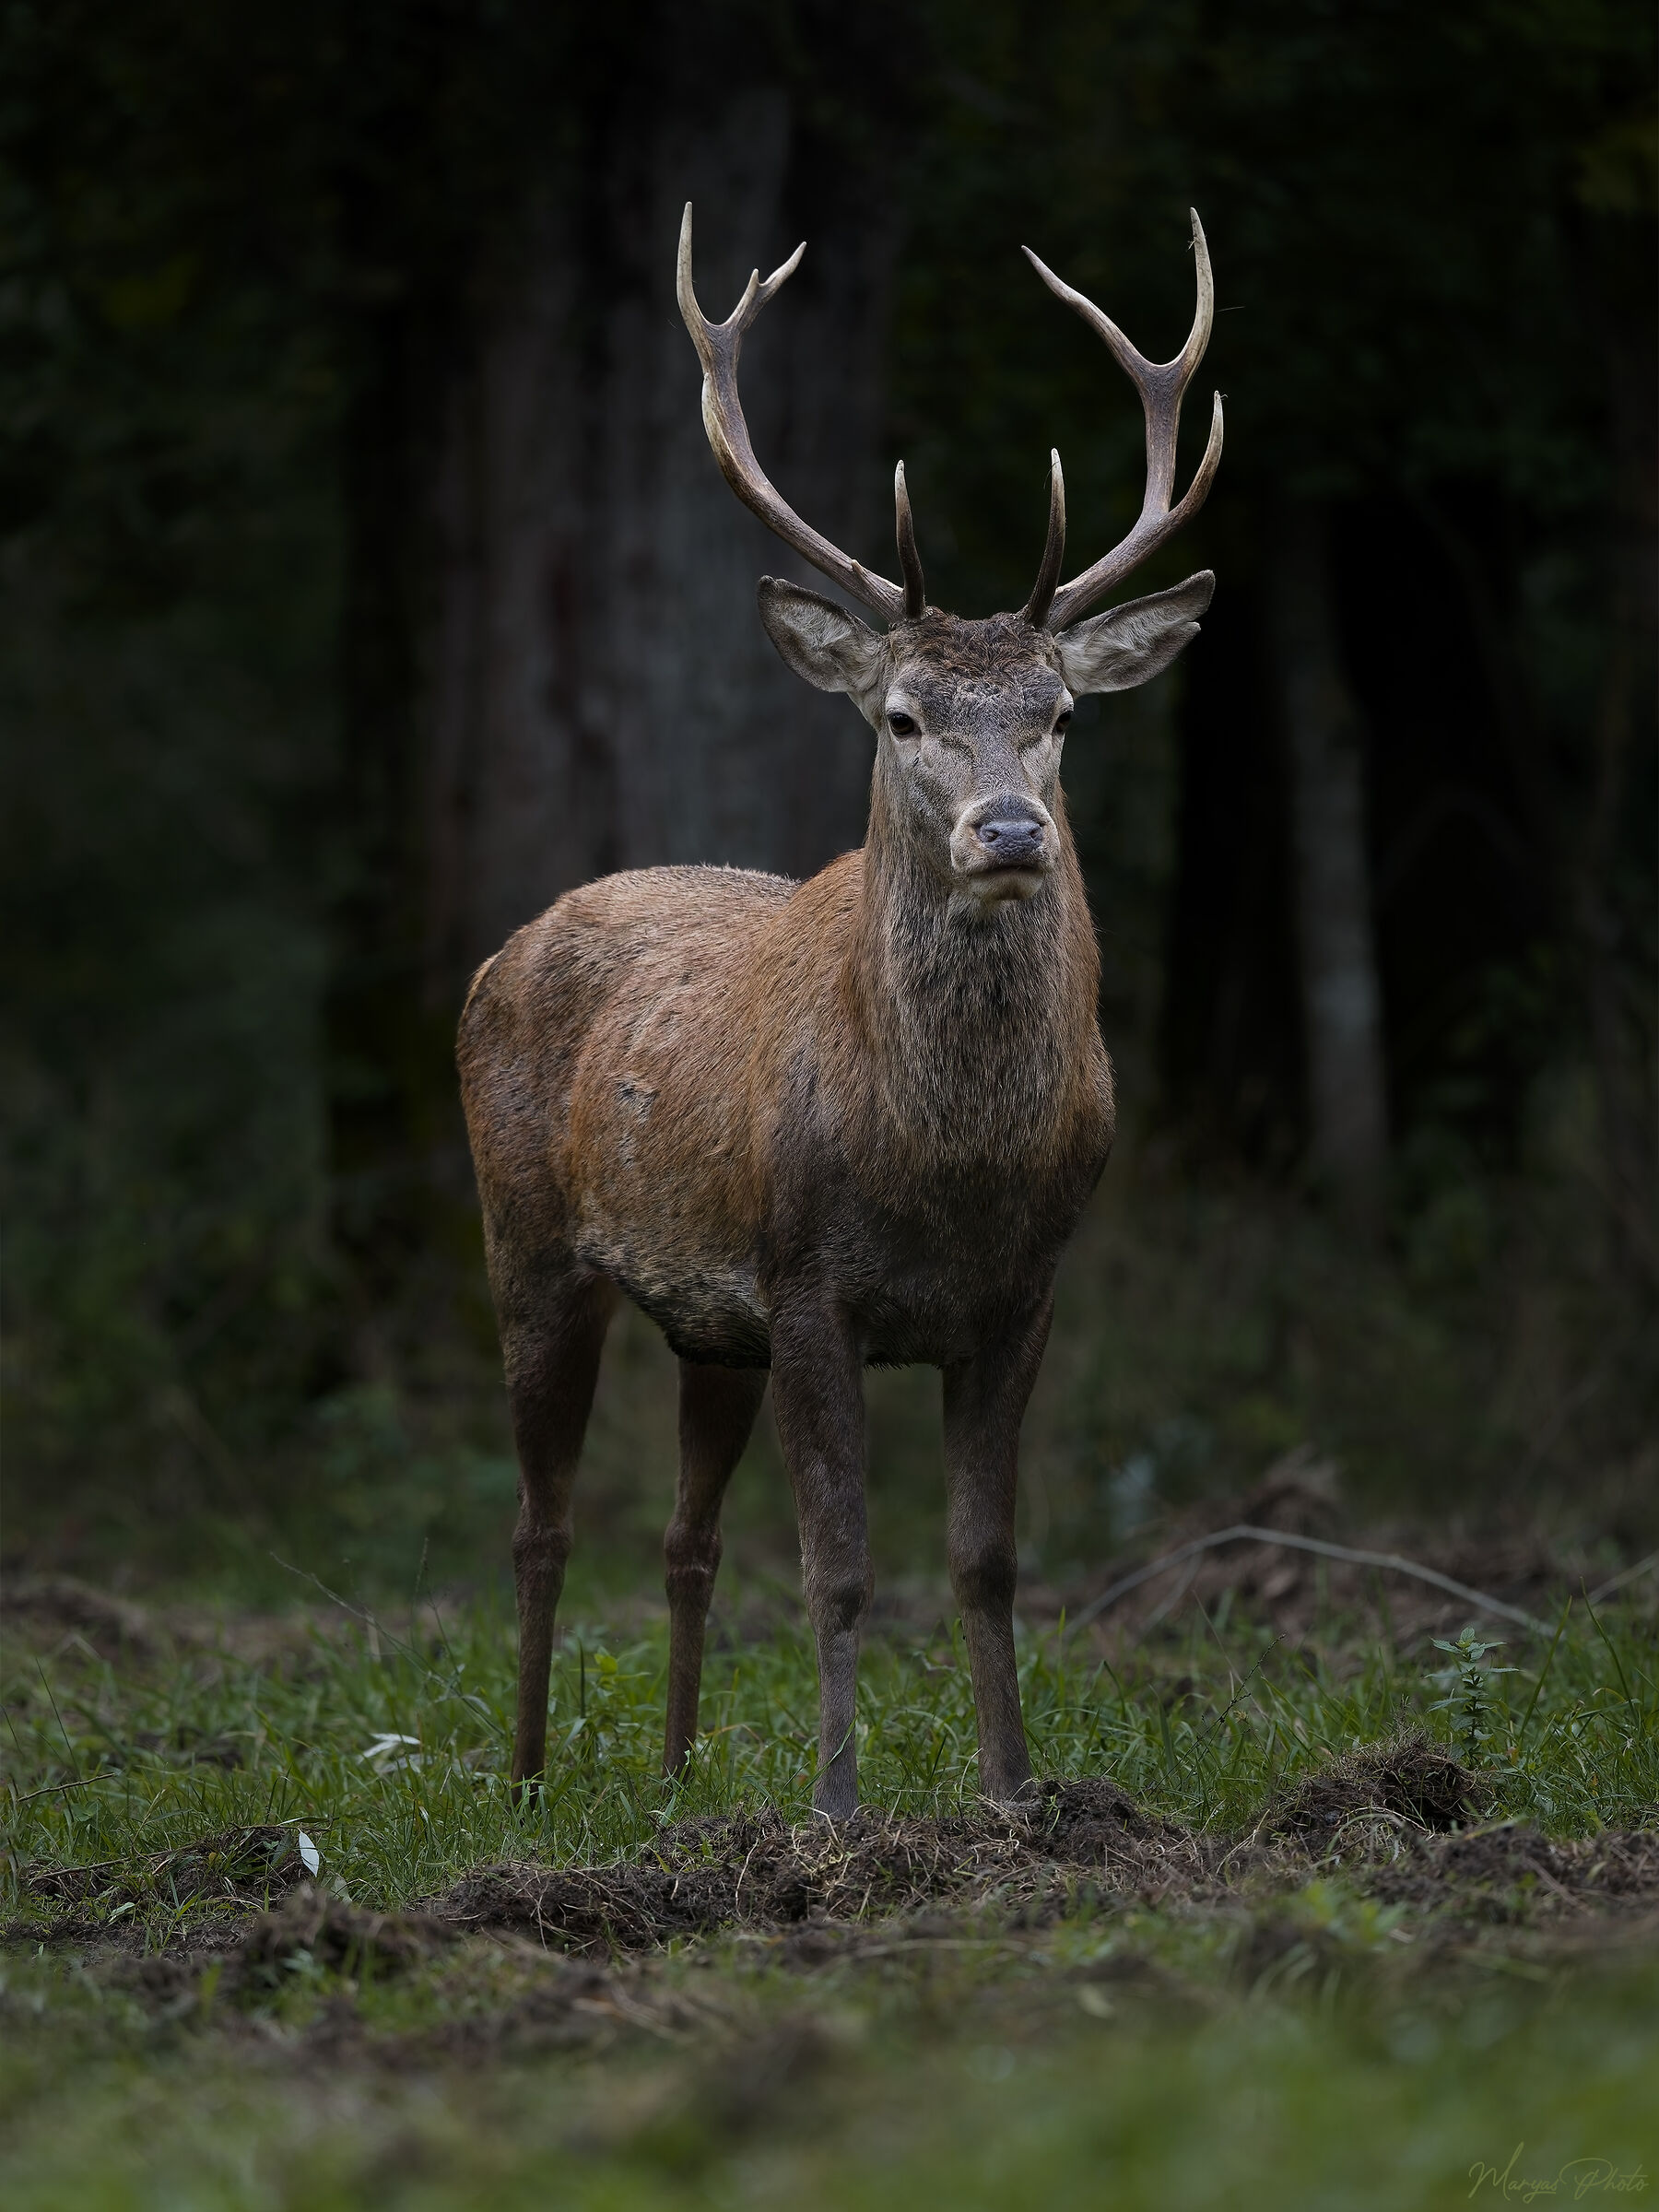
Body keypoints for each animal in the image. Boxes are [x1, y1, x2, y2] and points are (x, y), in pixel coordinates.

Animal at [458, 203, 1223, 1819]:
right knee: (543, 1521)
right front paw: (837, 1813)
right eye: (904, 715)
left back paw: (678, 1782)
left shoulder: (1021, 1296)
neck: (951, 1167)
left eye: (1062, 713)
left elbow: (985, 1561)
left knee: (686, 1539)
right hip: (528, 1240)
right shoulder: (810, 1281)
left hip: (708, 1326)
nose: (1011, 830)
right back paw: (531, 1779)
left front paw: (1012, 1794)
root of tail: (509, 945)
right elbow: (840, 1566)